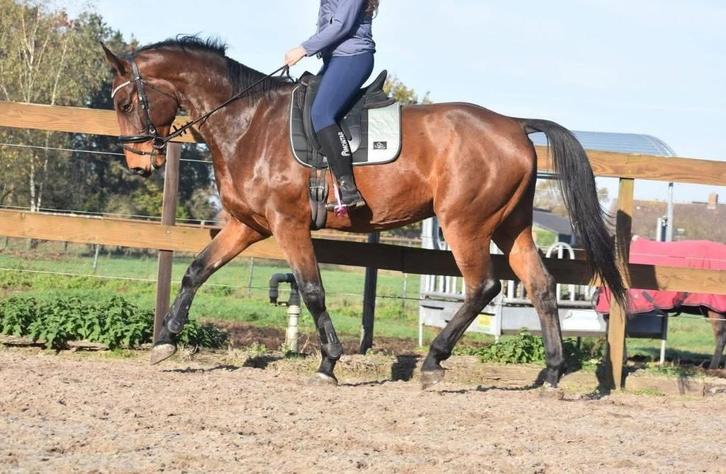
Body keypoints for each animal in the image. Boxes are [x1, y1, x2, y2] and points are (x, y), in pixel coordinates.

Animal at [101, 37, 625, 388]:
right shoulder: (248, 226)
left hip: (465, 224)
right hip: (509, 227)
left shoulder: (288, 224)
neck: (248, 123)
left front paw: (329, 362)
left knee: (484, 286)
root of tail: (515, 126)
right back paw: (551, 374)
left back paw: (433, 362)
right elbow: (196, 270)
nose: (139, 163)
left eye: (125, 101)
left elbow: (312, 289)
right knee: (540, 284)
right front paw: (165, 341)